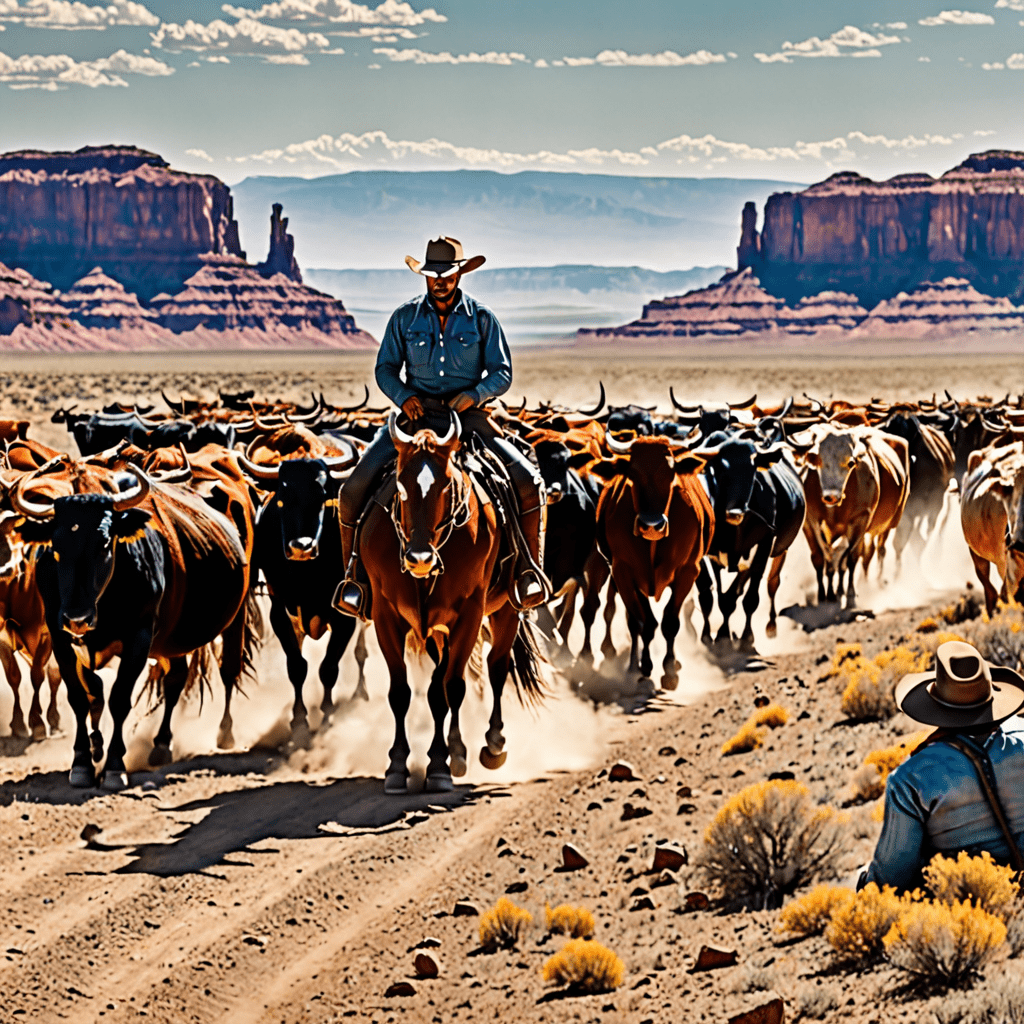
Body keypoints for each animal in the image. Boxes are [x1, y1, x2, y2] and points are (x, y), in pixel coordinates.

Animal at [364, 407, 548, 790]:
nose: (419, 559)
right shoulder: (386, 616)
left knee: (495, 668)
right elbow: (401, 691)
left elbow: (450, 687)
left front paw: (439, 765)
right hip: (436, 630)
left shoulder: (469, 614)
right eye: (399, 486)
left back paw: (491, 746)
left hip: (507, 609)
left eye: (446, 484)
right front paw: (398, 765)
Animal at [585, 432, 712, 688]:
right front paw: (643, 666)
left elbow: (670, 622)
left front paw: (670, 671)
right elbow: (642, 622)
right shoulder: (623, 573)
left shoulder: (687, 571)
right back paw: (634, 665)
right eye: (632, 475)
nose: (652, 525)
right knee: (634, 622)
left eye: (671, 473)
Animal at [692, 432, 802, 647]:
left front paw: (745, 637)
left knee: (771, 583)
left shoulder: (765, 544)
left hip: (781, 549)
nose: (735, 512)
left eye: (752, 471)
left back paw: (771, 626)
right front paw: (712, 636)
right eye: (719, 471)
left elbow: (749, 598)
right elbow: (711, 595)